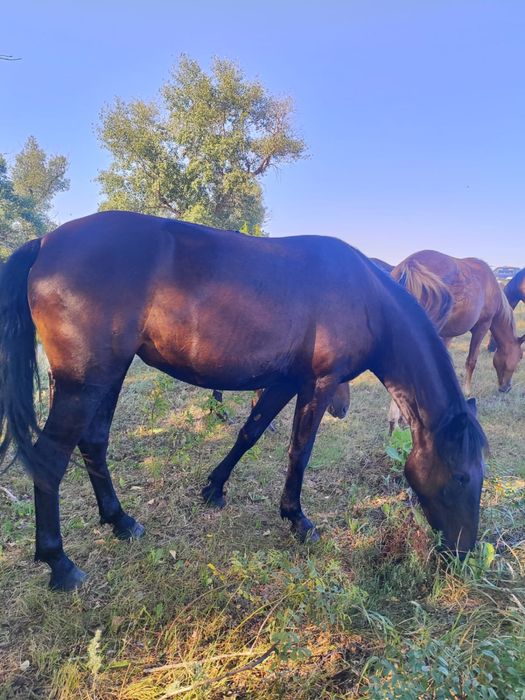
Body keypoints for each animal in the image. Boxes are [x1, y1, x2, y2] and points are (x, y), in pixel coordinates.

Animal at [0, 212, 486, 591]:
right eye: (462, 477)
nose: (463, 555)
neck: (367, 296)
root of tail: (45, 243)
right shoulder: (318, 383)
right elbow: (299, 451)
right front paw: (297, 519)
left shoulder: (285, 381)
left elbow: (250, 432)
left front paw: (214, 489)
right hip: (85, 383)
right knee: (50, 460)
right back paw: (60, 564)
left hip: (106, 375)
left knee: (94, 443)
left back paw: (121, 521)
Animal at [392, 251, 524, 396]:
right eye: (520, 357)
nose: (507, 388)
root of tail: (409, 265)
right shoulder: (482, 327)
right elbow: (471, 360)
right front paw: (466, 391)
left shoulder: (448, 333)